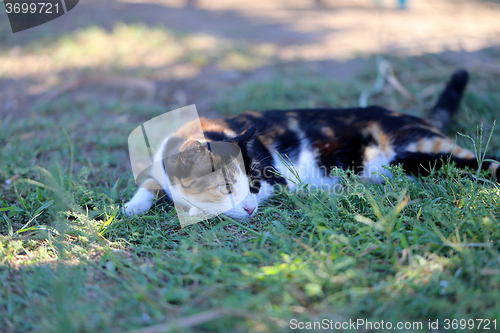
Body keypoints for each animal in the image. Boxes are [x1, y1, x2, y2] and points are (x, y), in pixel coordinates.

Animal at [124, 69, 500, 220]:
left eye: (255, 184)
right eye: (227, 187)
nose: (251, 208)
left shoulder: (279, 179)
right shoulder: (159, 164)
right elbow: (150, 181)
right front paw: (131, 206)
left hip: (422, 150)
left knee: (483, 161)